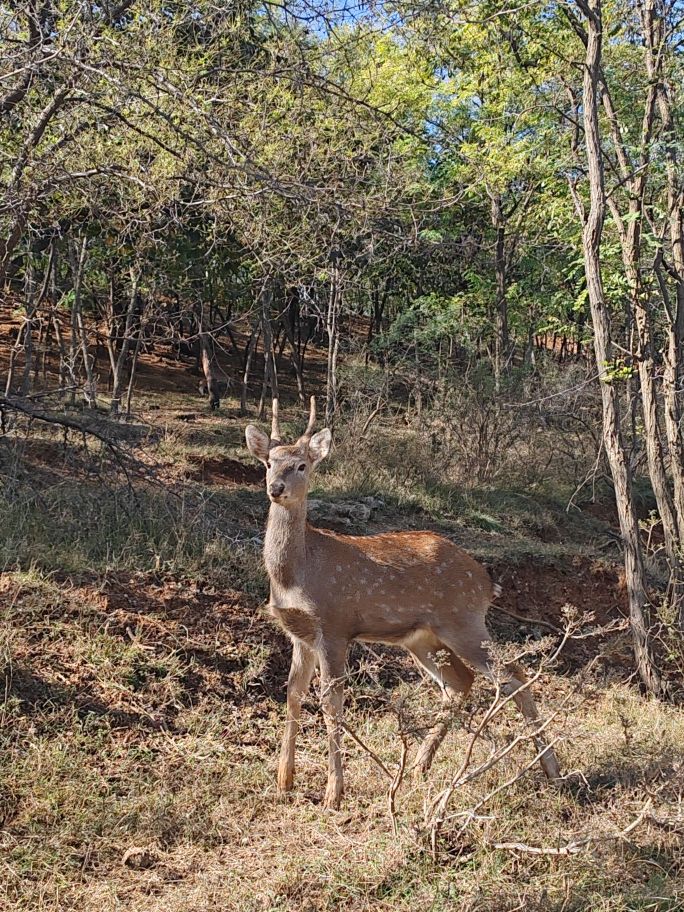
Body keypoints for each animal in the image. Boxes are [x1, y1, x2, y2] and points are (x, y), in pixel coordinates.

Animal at [246, 396, 560, 808]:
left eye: (302, 464)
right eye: (269, 462)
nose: (276, 488)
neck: (296, 574)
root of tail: (485, 581)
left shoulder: (334, 625)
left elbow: (332, 706)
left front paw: (334, 794)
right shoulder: (301, 633)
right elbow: (293, 695)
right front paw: (284, 781)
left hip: (463, 622)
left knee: (514, 675)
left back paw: (552, 769)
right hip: (423, 638)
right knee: (461, 682)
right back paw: (420, 767)